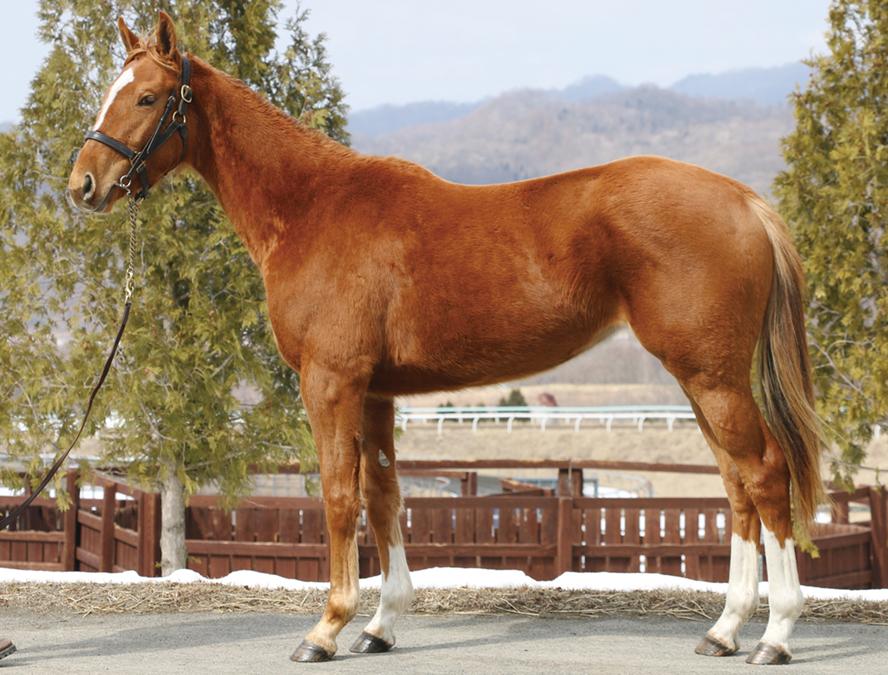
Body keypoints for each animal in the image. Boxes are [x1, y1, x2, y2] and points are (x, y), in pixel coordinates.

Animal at [68, 12, 824, 666]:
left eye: (147, 96)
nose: (83, 184)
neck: (312, 207)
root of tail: (744, 202)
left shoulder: (331, 382)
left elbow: (339, 496)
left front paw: (326, 628)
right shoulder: (375, 392)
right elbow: (384, 496)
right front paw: (379, 625)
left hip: (712, 378)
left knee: (765, 474)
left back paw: (776, 635)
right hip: (701, 381)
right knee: (735, 487)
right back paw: (724, 630)